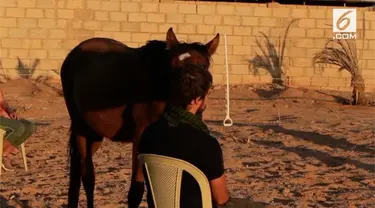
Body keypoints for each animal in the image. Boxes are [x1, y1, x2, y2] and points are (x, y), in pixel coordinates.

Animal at [59, 28, 220, 208]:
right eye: (173, 65)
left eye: (203, 66)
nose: (188, 89)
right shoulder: (140, 140)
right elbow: (136, 191)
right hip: (82, 129)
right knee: (87, 177)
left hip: (95, 135)